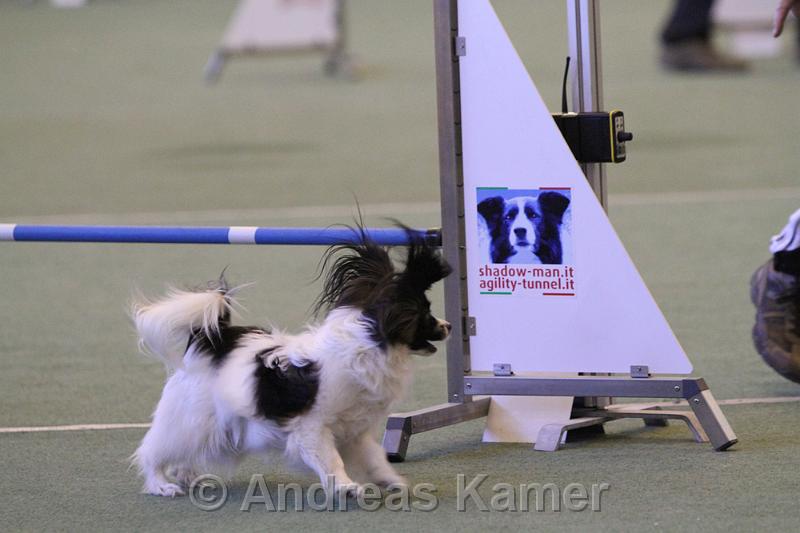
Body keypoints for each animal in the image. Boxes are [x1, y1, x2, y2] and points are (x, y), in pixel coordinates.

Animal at [130, 227, 451, 498]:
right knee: (154, 451)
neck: (366, 345)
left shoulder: (355, 432)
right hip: (191, 422)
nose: (448, 326)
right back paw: (162, 485)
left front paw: (392, 482)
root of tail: (211, 341)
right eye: (424, 314)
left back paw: (188, 477)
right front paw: (346, 487)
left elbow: (375, 459)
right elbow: (332, 461)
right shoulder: (312, 429)